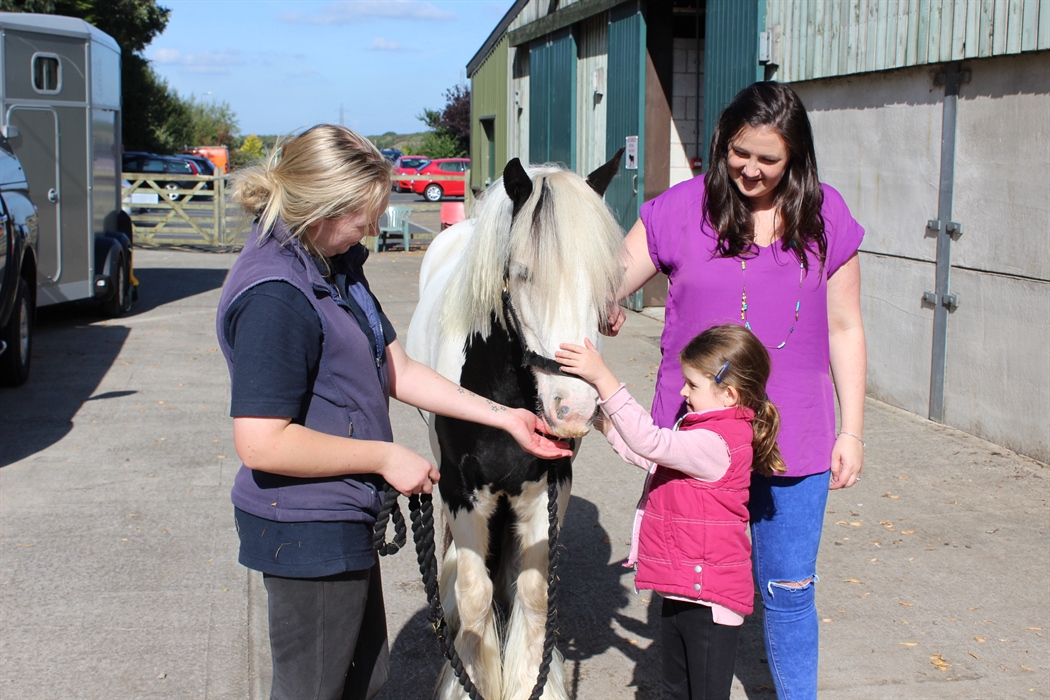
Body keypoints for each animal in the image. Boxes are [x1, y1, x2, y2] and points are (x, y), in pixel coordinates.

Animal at [405, 154, 621, 700]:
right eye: (522, 274)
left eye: (603, 284)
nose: (575, 408)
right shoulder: (460, 488)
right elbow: (475, 596)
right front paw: (471, 680)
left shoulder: (549, 486)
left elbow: (534, 591)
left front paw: (530, 682)